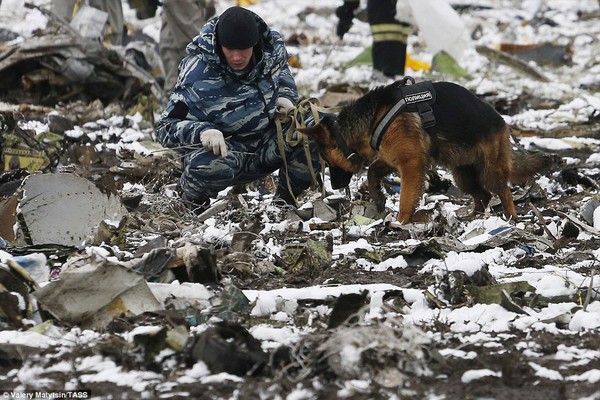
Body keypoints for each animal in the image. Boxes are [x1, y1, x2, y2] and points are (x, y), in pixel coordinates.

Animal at [300, 78, 552, 222]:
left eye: (326, 161)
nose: (333, 186)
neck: (375, 117)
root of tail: (502, 121)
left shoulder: (411, 165)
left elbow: (405, 197)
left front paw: (401, 221)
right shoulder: (391, 158)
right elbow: (372, 172)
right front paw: (378, 197)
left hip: (488, 171)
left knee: (503, 191)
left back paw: (510, 218)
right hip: (463, 175)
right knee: (483, 195)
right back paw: (473, 218)